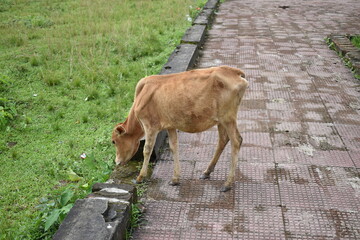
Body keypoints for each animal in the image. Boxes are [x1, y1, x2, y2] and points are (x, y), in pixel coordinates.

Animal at [112, 65, 248, 191]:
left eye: (113, 141)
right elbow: (174, 147)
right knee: (223, 140)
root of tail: (232, 70)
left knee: (236, 141)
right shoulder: (171, 126)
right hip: (221, 120)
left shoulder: (150, 126)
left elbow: (147, 150)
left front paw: (140, 177)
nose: (117, 162)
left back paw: (227, 183)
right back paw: (207, 172)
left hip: (228, 118)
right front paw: (175, 178)